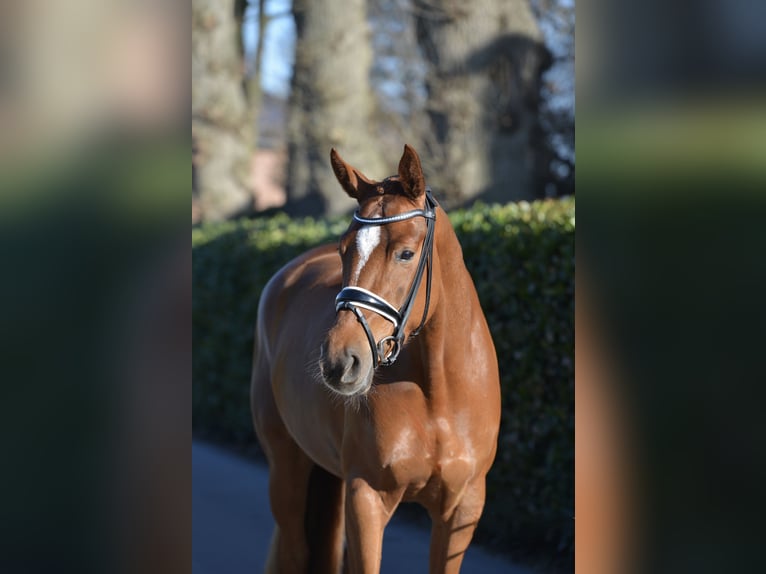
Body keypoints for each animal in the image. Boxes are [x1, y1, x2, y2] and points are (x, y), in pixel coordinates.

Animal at [251, 144, 501, 573]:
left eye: (406, 253)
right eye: (343, 249)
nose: (339, 360)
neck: (438, 394)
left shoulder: (463, 508)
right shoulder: (366, 497)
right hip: (286, 466)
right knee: (295, 549)